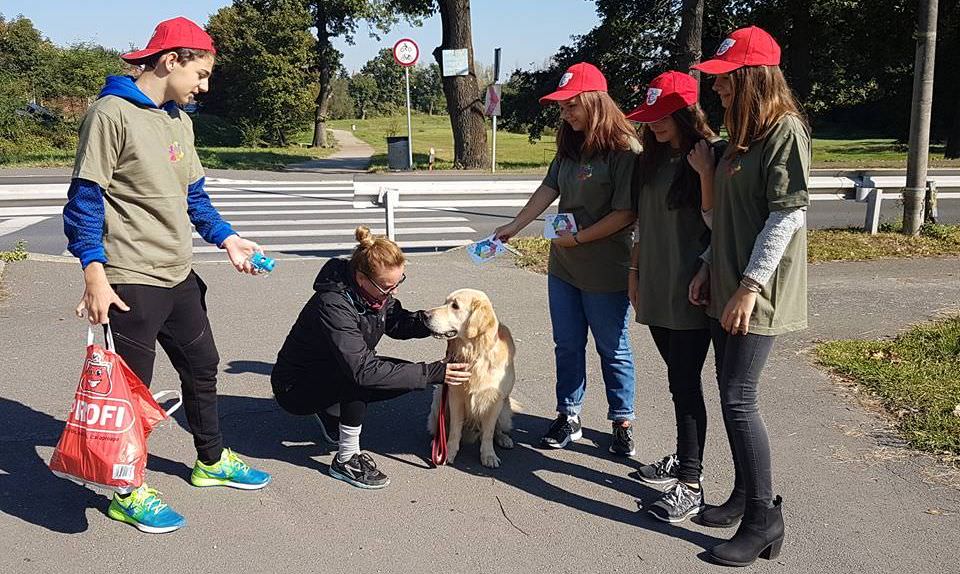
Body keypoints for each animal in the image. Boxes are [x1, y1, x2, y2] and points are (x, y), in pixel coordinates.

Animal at [426, 290, 516, 470]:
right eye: (445, 302)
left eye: (455, 306)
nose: (424, 315)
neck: (475, 354)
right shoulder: (455, 397)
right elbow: (454, 430)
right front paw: (448, 452)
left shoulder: (495, 401)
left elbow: (488, 433)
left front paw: (488, 455)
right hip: (439, 399)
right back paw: (437, 444)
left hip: (504, 410)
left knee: (496, 430)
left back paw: (504, 439)